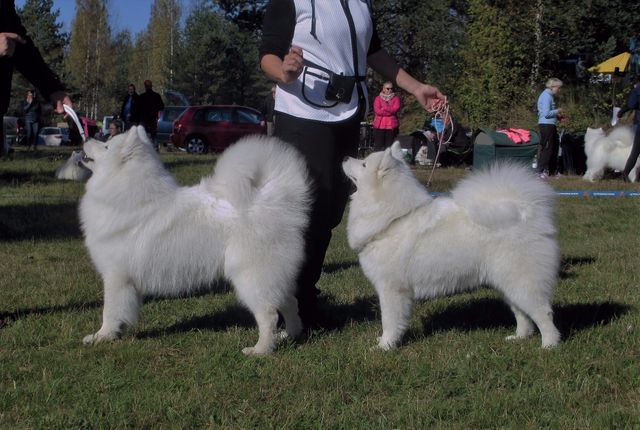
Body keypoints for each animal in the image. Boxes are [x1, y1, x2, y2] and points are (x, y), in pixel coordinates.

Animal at [81, 126, 312, 354]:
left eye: (106, 146)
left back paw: (261, 350)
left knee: (269, 315)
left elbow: (109, 311)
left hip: (251, 277)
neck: (130, 195)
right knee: (291, 303)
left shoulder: (116, 277)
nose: (86, 138)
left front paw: (102, 336)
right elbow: (124, 310)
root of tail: (272, 202)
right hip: (274, 277)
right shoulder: (128, 281)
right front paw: (117, 332)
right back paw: (290, 335)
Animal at [344, 143, 560, 352]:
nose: (345, 156)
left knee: (544, 313)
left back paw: (549, 345)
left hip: (522, 283)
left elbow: (389, 321)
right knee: (522, 314)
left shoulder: (392, 289)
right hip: (507, 285)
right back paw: (519, 338)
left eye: (363, 164)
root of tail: (527, 211)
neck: (394, 219)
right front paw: (385, 343)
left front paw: (384, 346)